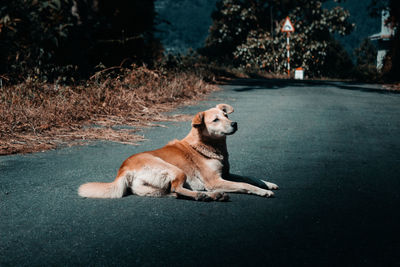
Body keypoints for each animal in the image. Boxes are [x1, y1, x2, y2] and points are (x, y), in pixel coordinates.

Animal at [78, 103, 278, 202]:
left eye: (226, 115)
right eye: (215, 120)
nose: (235, 124)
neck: (206, 145)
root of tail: (123, 169)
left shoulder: (226, 174)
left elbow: (249, 178)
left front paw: (268, 184)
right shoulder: (215, 181)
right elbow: (245, 185)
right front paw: (263, 191)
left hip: (152, 188)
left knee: (174, 192)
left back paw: (211, 196)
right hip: (176, 170)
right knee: (177, 188)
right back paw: (203, 195)